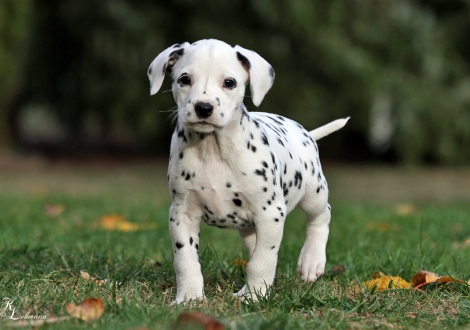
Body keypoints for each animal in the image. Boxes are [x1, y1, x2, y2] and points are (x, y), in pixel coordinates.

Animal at [148, 38, 348, 304]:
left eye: (229, 82)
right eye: (184, 79)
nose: (203, 107)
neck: (212, 150)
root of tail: (304, 132)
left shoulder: (270, 213)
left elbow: (262, 260)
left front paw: (254, 296)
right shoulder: (181, 213)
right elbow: (186, 259)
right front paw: (189, 297)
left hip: (312, 192)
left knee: (321, 216)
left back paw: (311, 262)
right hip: (249, 225)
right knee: (256, 243)